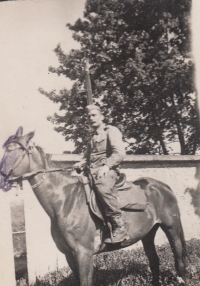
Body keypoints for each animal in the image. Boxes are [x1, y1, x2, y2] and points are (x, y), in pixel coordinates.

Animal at [0, 128, 186, 286]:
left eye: (11, 149)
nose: (2, 180)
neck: (64, 202)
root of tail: (162, 186)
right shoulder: (70, 256)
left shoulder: (84, 254)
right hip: (147, 233)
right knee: (154, 261)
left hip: (172, 229)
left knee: (179, 260)